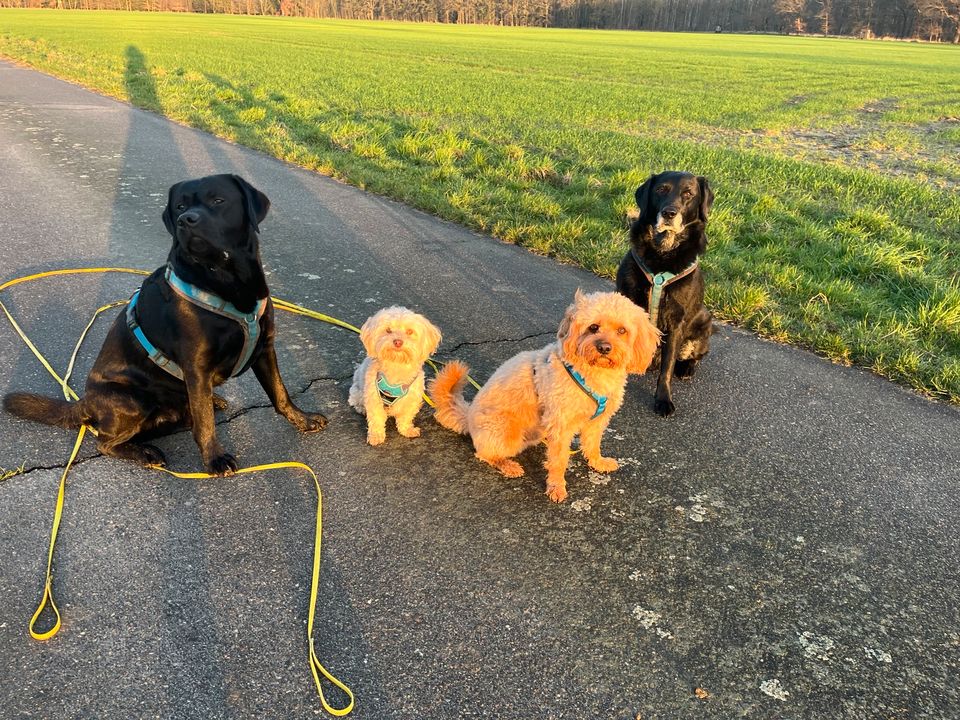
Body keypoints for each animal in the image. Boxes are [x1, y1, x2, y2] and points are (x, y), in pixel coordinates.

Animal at [348, 306, 442, 448]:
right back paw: (361, 408)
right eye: (388, 330)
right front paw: (376, 436)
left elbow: (406, 416)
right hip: (357, 391)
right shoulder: (374, 397)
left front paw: (407, 429)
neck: (397, 365)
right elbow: (376, 419)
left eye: (409, 331)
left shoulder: (412, 398)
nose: (398, 342)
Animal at [430, 290, 660, 504]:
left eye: (622, 330)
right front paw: (557, 487)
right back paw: (507, 464)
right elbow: (558, 460)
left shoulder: (597, 420)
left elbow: (592, 443)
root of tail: (467, 415)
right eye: (593, 327)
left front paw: (597, 461)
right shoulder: (560, 424)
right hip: (506, 432)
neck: (594, 373)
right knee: (484, 454)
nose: (604, 347)